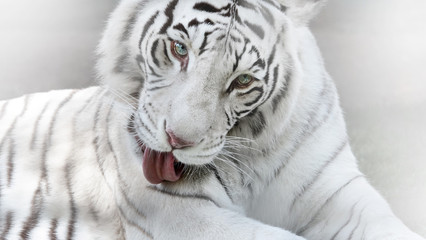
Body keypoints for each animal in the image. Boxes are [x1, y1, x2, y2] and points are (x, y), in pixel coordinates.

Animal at [0, 0, 422, 240]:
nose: (177, 140)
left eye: (243, 81)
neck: (255, 150)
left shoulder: (338, 193)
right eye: (178, 49)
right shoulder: (178, 212)